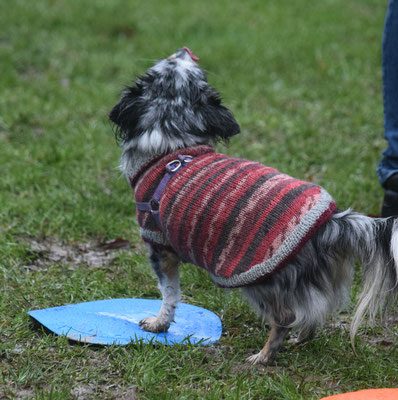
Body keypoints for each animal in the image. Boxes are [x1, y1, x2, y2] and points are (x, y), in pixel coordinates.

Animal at [109, 47, 398, 366]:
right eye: (178, 63)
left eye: (167, 62)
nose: (186, 51)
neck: (173, 141)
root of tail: (329, 224)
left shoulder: (160, 248)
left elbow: (169, 295)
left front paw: (159, 324)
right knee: (313, 313)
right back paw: (299, 339)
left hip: (257, 281)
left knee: (285, 317)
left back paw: (263, 356)